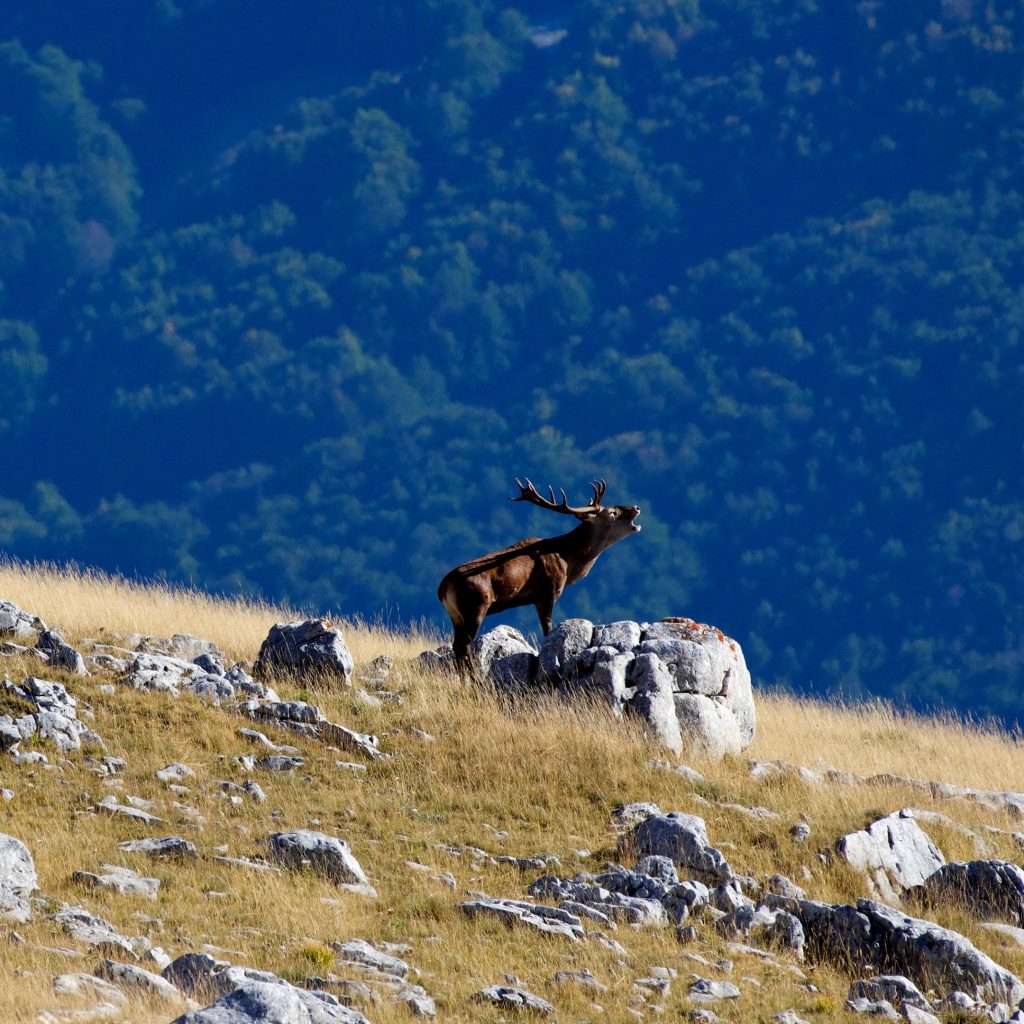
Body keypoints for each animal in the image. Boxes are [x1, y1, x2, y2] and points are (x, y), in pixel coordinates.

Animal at [437, 479, 641, 666]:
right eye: (612, 513)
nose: (637, 507)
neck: (568, 560)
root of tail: (442, 588)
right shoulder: (547, 592)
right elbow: (548, 629)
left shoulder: (536, 598)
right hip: (476, 605)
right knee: (463, 646)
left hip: (456, 614)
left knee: (457, 646)